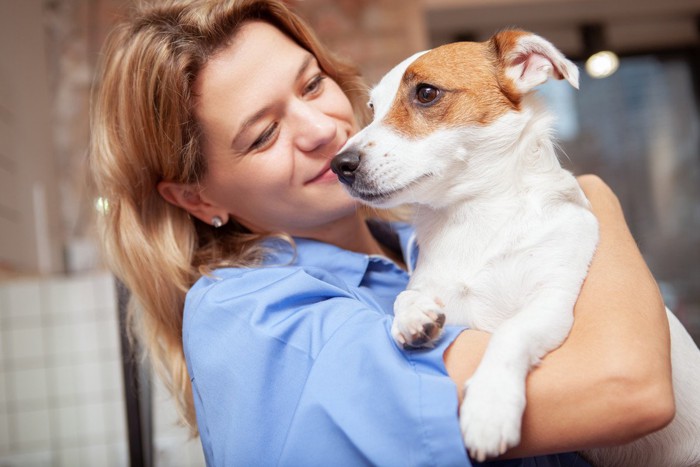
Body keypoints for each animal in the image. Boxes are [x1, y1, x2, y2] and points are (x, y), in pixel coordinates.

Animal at [330, 30, 700, 467]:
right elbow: (407, 294)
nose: (339, 165)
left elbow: (510, 331)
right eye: (372, 108)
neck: (474, 218)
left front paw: (489, 407)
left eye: (426, 93)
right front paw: (413, 316)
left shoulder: (552, 303)